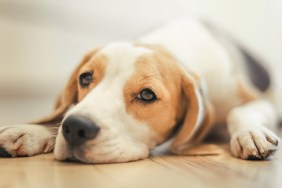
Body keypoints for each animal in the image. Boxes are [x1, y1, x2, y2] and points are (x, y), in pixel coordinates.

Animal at [0, 17, 282, 163]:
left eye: (147, 95)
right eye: (85, 78)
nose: (77, 128)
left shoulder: (254, 99)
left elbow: (239, 112)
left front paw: (250, 133)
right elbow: (62, 113)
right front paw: (32, 131)